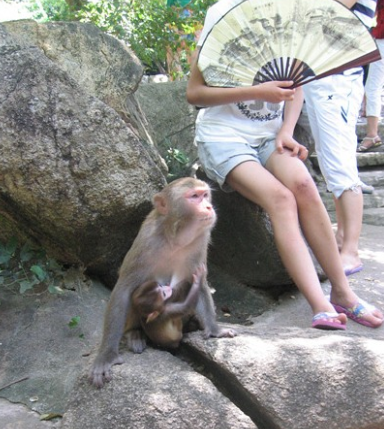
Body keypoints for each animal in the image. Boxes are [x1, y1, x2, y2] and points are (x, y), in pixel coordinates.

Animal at [89, 176, 237, 386]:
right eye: (194, 196)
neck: (176, 239)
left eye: (205, 195)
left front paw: (215, 329)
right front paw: (106, 355)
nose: (209, 207)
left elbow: (199, 282)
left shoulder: (200, 242)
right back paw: (134, 333)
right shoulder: (146, 242)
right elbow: (124, 289)